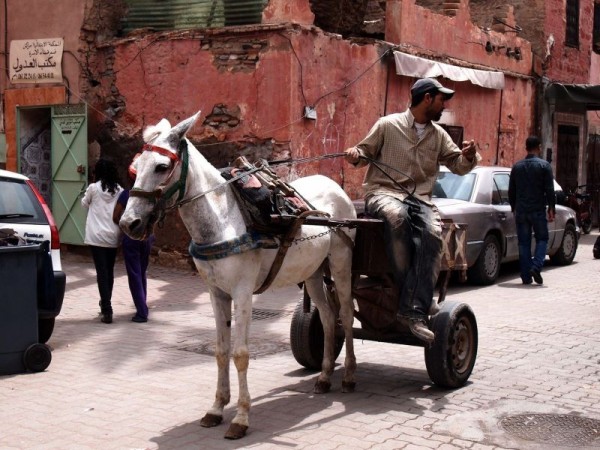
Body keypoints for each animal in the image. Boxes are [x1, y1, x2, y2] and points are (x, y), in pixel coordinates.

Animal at [119, 112, 358, 440]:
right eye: (135, 167)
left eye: (162, 167)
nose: (129, 223)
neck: (222, 219)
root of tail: (333, 183)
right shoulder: (216, 293)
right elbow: (221, 351)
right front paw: (216, 408)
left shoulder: (243, 292)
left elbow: (241, 353)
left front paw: (241, 418)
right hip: (311, 271)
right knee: (326, 316)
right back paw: (323, 376)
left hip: (340, 262)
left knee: (345, 314)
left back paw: (348, 375)